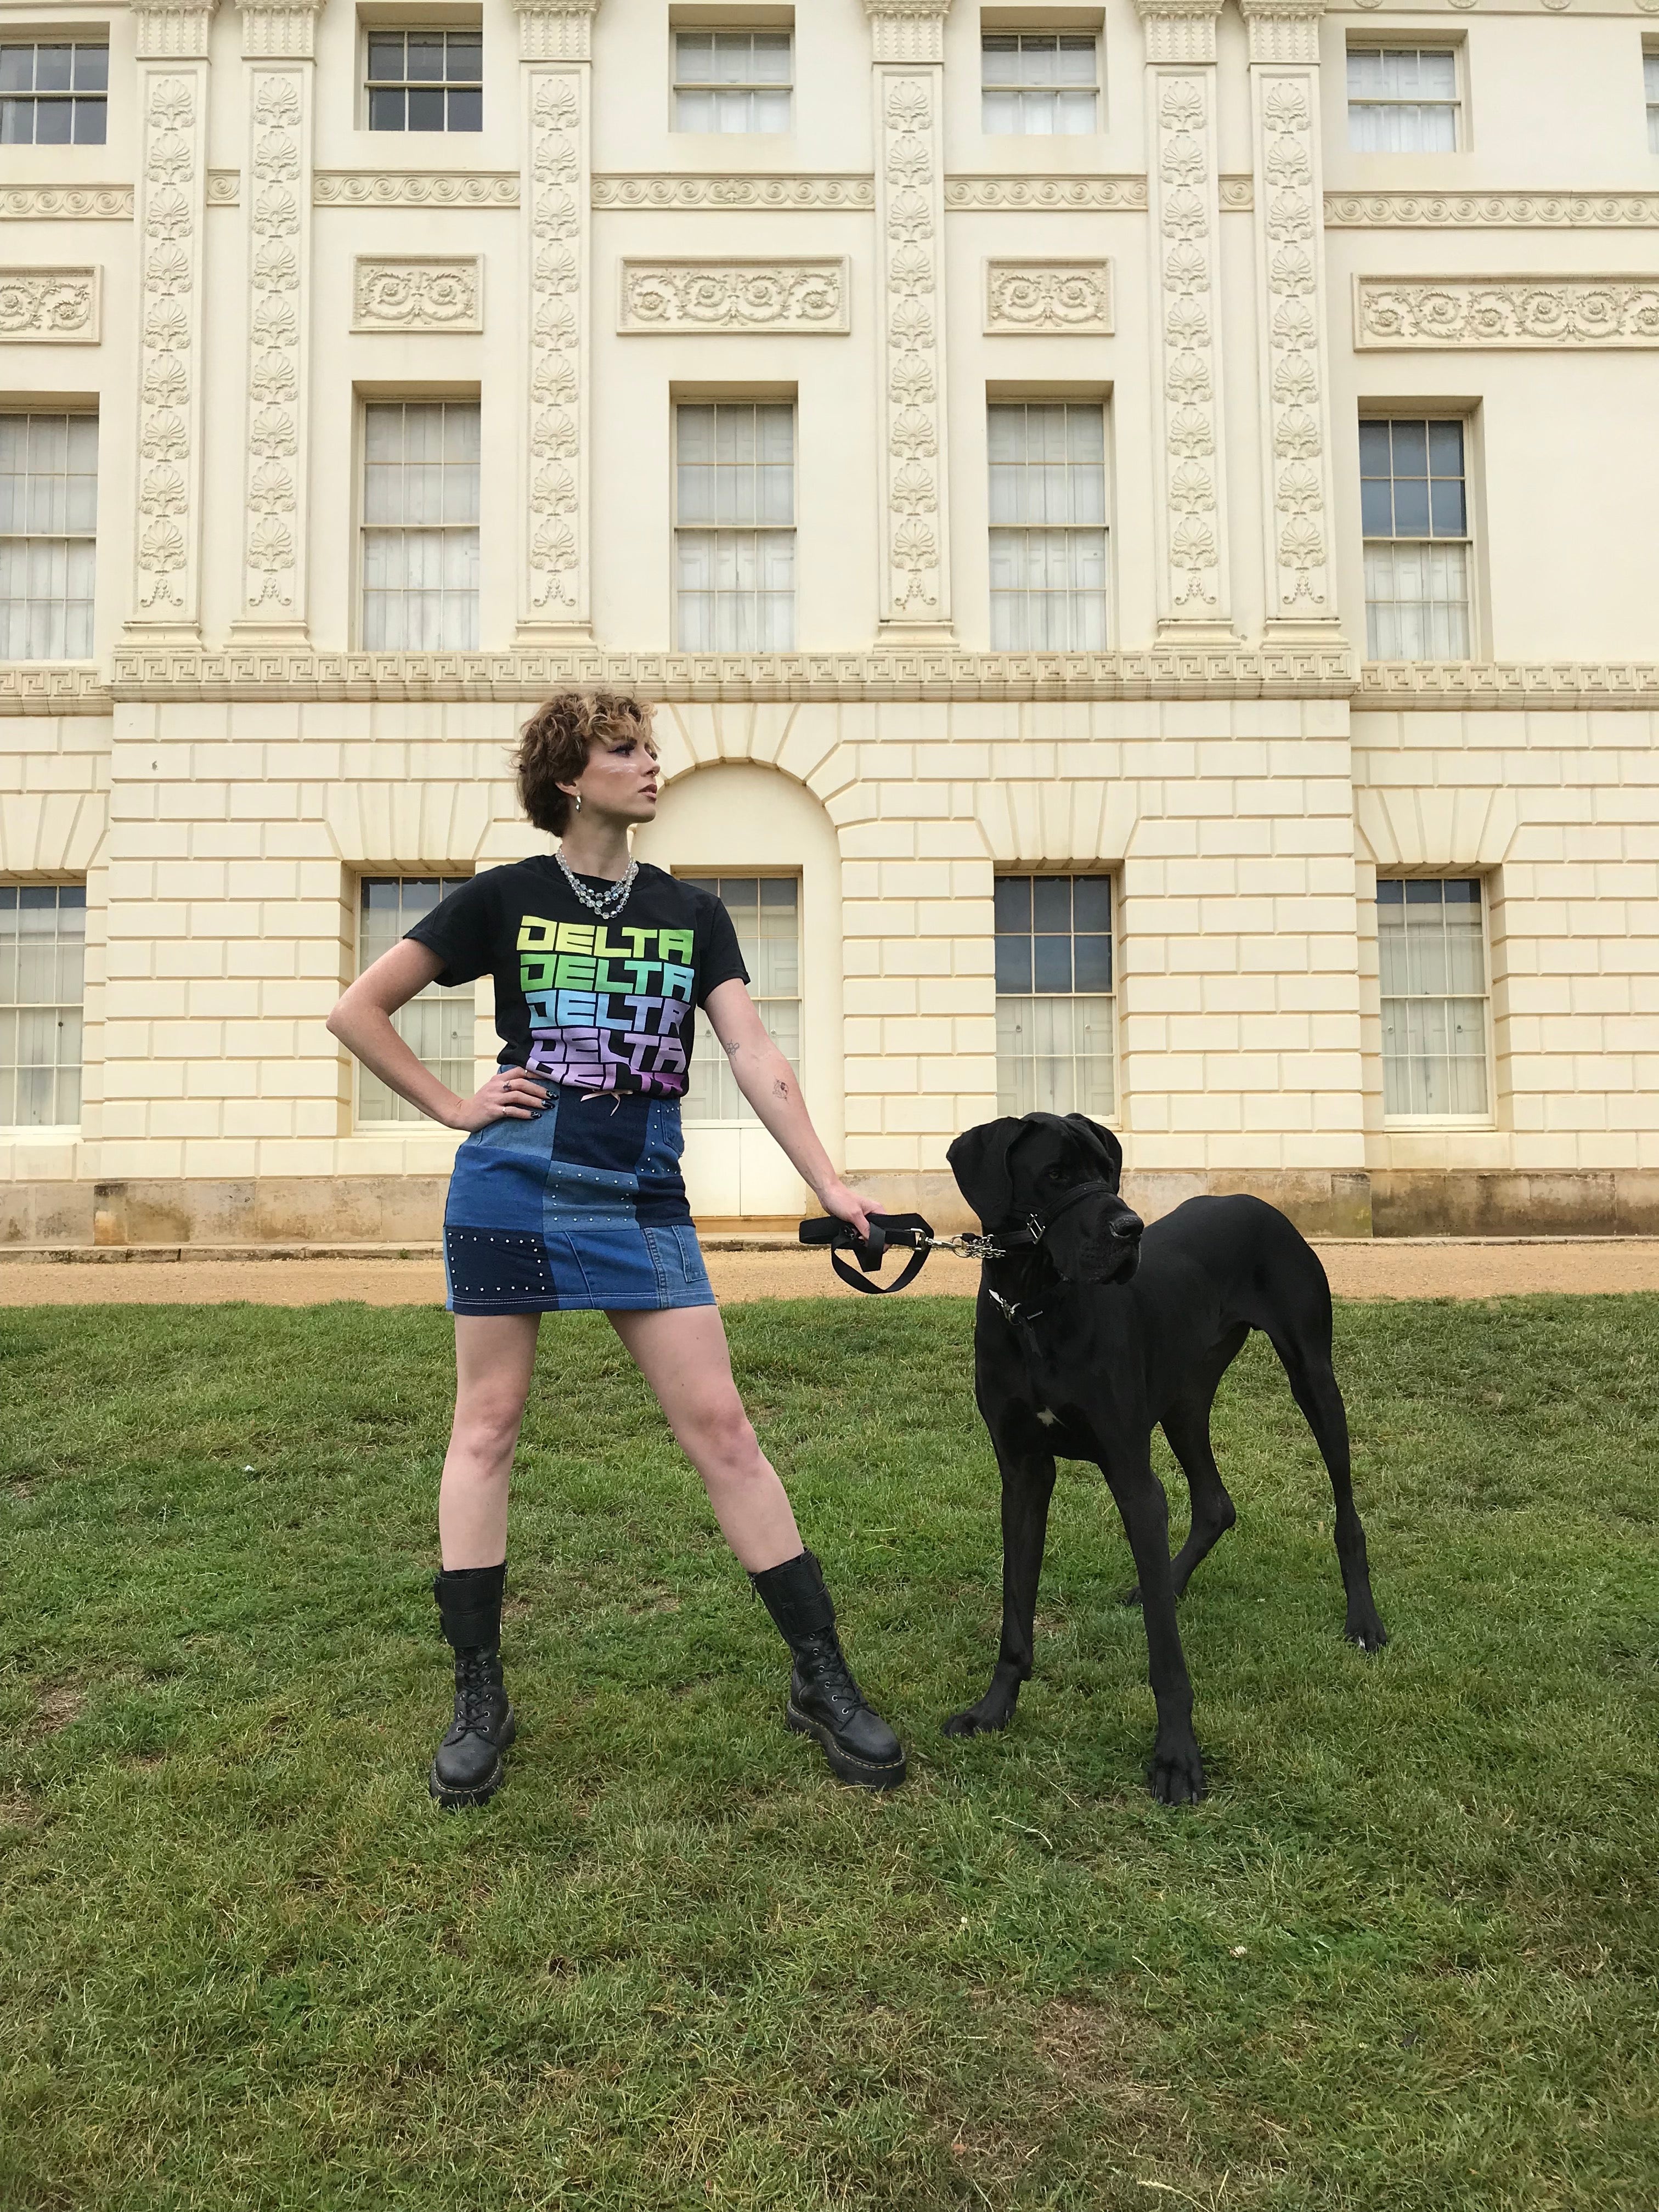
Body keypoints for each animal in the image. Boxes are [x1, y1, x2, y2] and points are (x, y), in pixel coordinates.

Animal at [946, 1115, 1389, 1805]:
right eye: (1056, 1175)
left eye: (1108, 1172)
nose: (1129, 1229)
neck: (1035, 1310)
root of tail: (1258, 1203)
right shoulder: (1021, 1474)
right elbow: (1016, 1611)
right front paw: (993, 1710)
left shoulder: (1131, 1475)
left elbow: (1166, 1657)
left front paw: (1178, 1758)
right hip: (1185, 1400)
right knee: (1215, 1504)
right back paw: (1171, 1582)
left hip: (1313, 1377)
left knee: (1345, 1511)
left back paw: (1363, 1619)